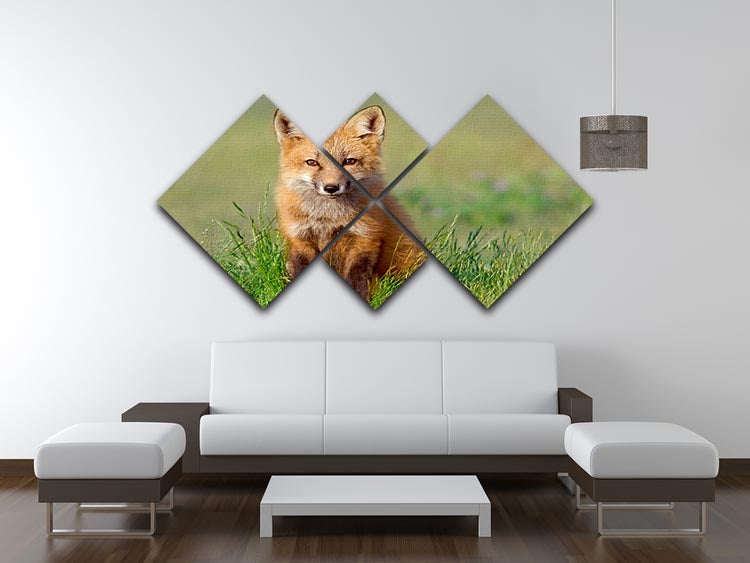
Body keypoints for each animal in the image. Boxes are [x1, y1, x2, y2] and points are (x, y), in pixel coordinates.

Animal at [273, 105, 423, 300]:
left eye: (349, 161)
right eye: (312, 162)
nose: (331, 187)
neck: (328, 219)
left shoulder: (365, 237)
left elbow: (357, 274)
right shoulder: (300, 238)